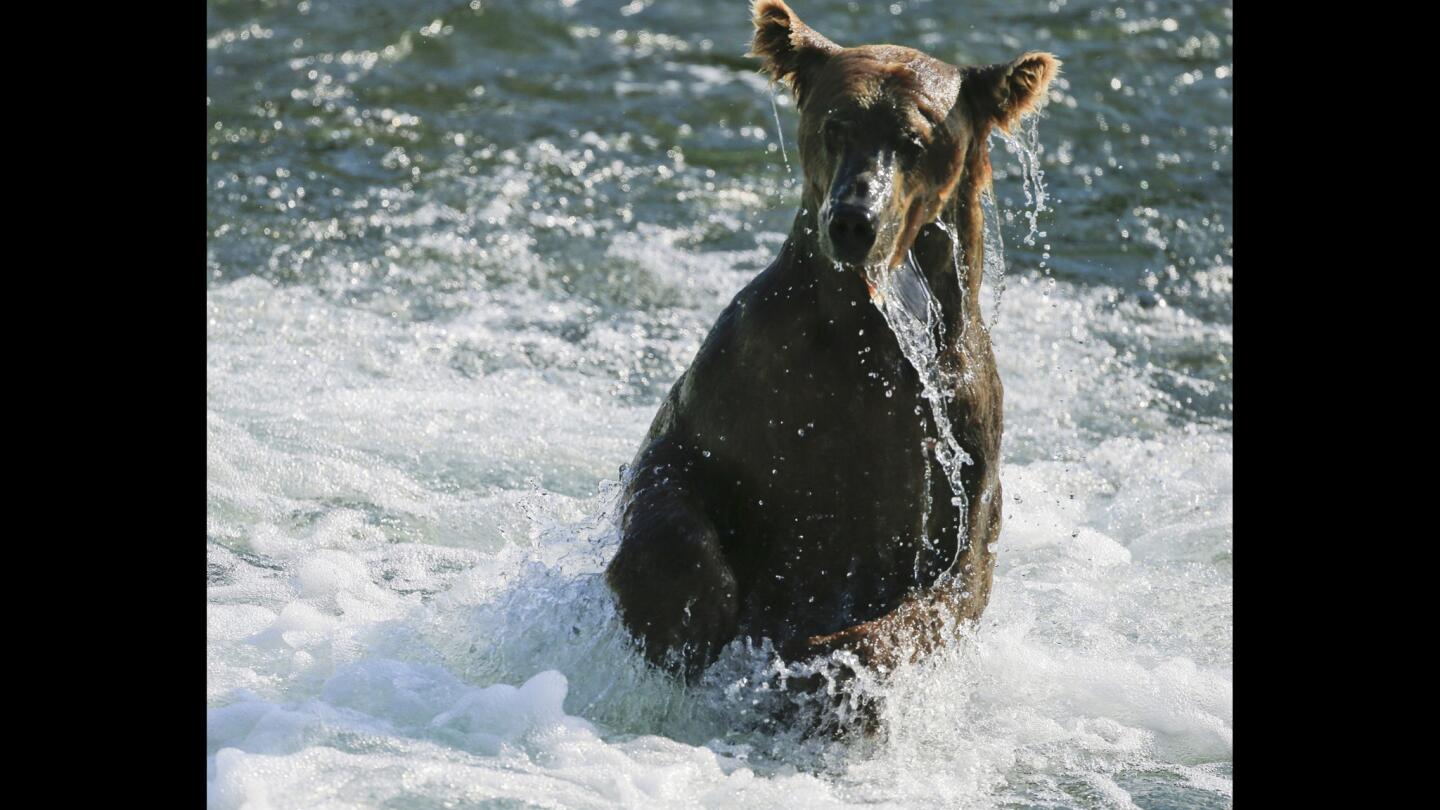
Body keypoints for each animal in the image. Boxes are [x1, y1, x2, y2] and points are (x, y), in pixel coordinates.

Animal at [601, 0, 1054, 680]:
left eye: (914, 140)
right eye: (835, 125)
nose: (853, 220)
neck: (863, 332)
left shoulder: (956, 437)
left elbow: (947, 589)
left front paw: (821, 663)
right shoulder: (747, 380)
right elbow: (670, 474)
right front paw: (687, 610)